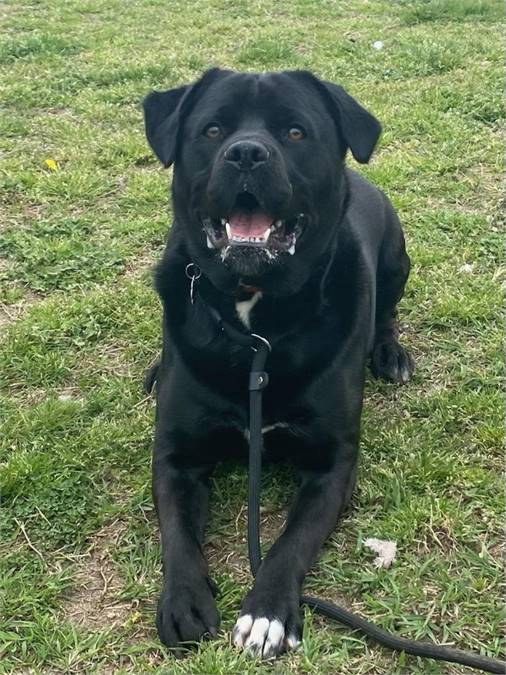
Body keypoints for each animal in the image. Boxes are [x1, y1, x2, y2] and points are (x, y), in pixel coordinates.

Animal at [140, 68, 414, 660]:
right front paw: (184, 599)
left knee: (386, 311)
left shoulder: (332, 464)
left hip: (397, 258)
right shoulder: (175, 455)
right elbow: (176, 533)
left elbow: (291, 542)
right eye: (213, 129)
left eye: (294, 132)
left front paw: (266, 613)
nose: (246, 153)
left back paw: (389, 352)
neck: (255, 326)